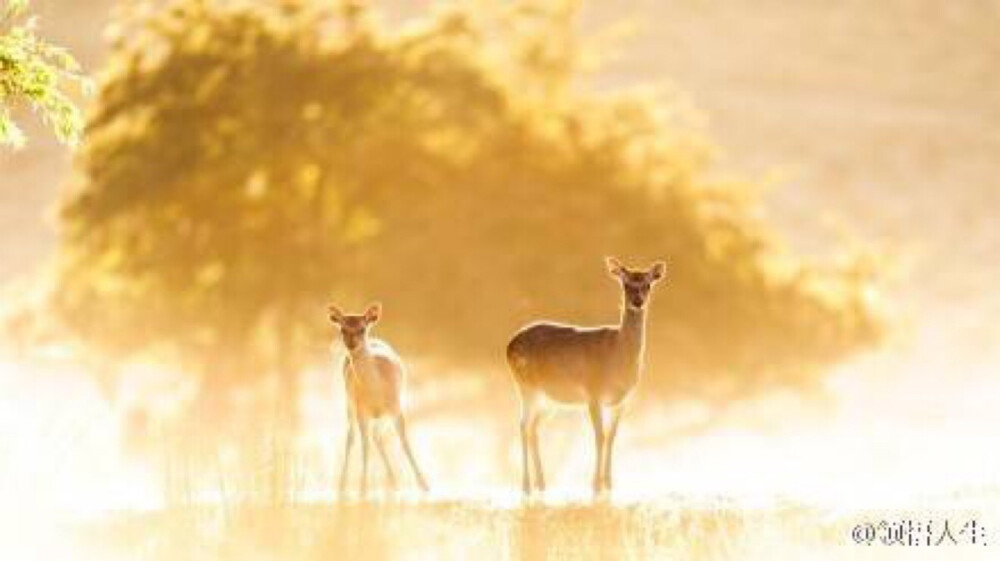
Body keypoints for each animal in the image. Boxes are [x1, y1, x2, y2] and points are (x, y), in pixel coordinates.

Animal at [330, 302, 428, 498]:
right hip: (349, 404)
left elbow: (404, 442)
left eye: (362, 328)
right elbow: (365, 446)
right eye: (342, 329)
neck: (375, 389)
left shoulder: (396, 406)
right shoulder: (361, 410)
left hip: (383, 414)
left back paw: (393, 481)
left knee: (378, 436)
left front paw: (424, 484)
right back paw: (342, 485)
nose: (351, 344)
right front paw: (363, 489)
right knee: (352, 437)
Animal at [508, 258, 664, 494]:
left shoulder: (623, 401)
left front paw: (609, 482)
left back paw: (542, 482)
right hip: (527, 387)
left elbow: (612, 437)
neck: (618, 359)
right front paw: (595, 484)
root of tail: (508, 347)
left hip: (549, 399)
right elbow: (599, 437)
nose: (637, 302)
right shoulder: (593, 393)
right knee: (523, 426)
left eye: (648, 284)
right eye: (626, 284)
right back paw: (526, 485)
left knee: (534, 427)